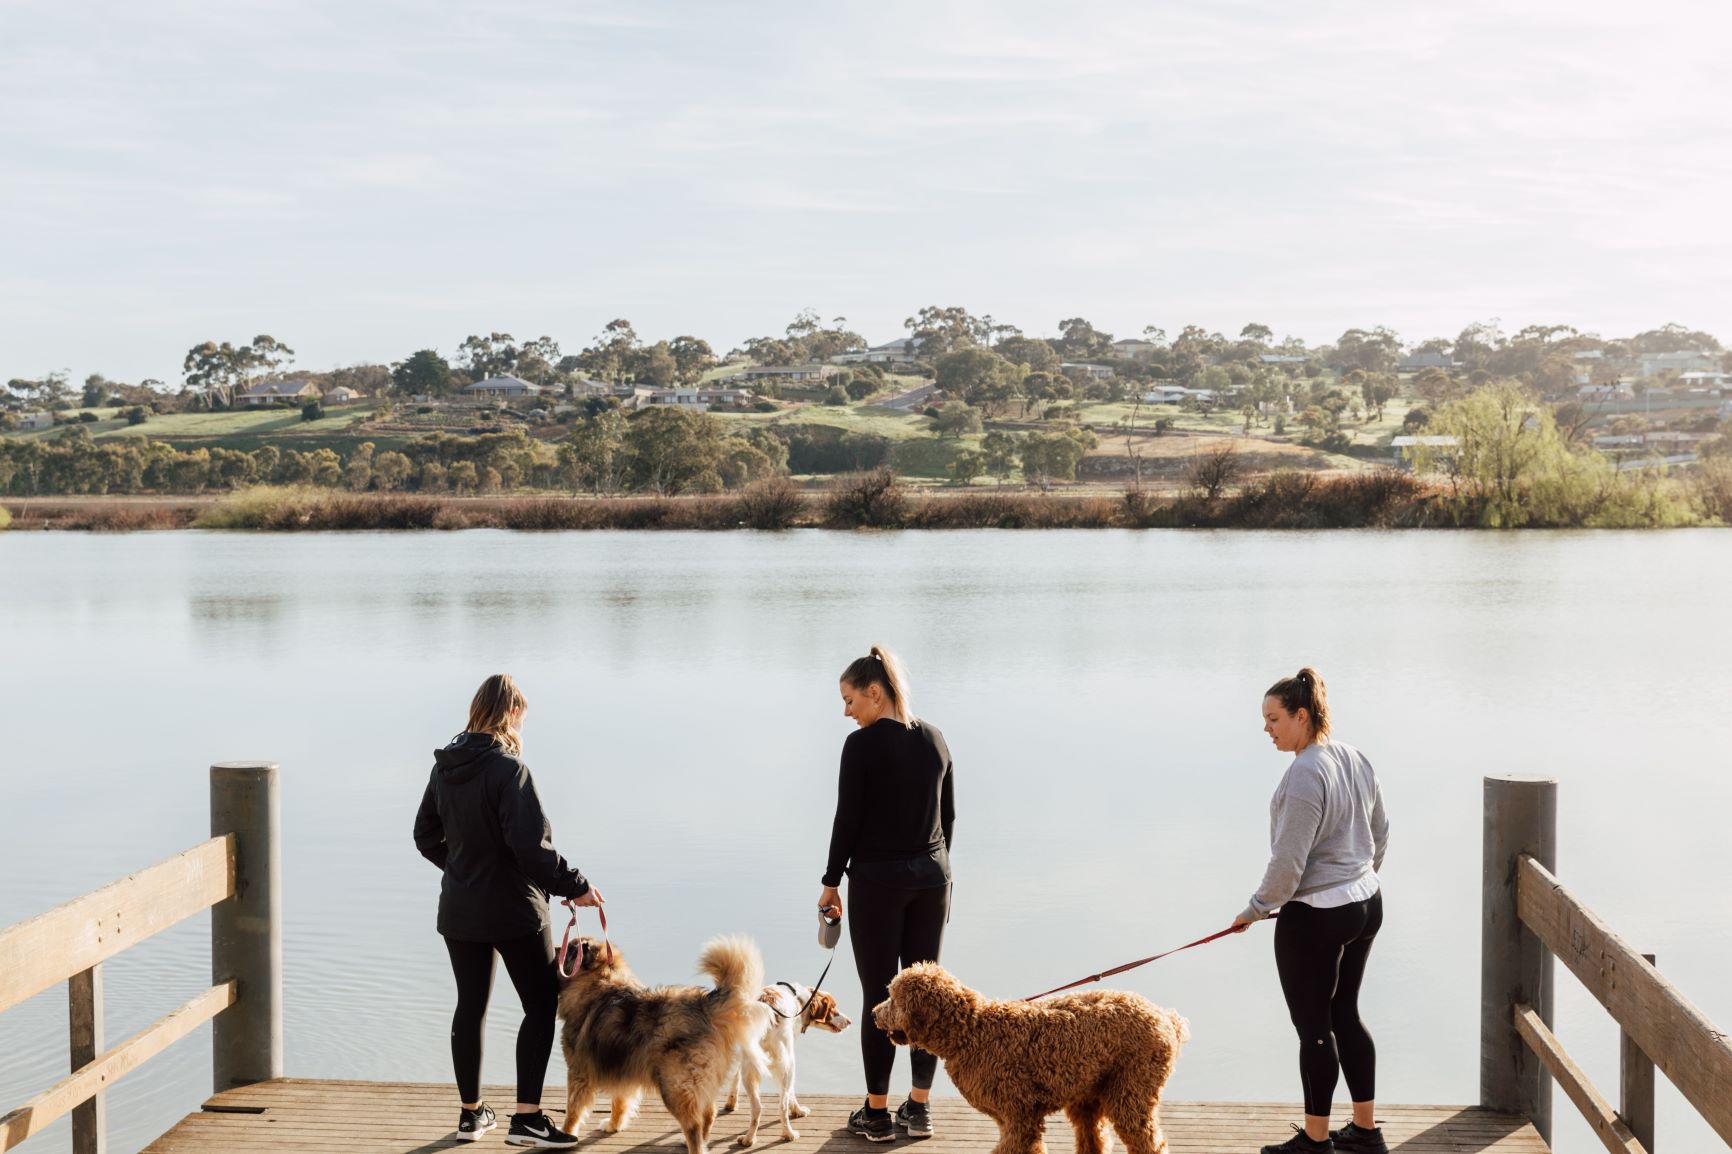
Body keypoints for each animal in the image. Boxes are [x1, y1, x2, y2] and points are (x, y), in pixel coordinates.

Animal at [557, 935, 775, 1150]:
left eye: (568, 949)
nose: (555, 949)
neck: (598, 980)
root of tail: (705, 1006)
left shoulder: (579, 1072)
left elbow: (573, 1109)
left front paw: (566, 1133)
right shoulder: (622, 1068)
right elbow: (619, 1102)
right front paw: (613, 1125)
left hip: (675, 1086)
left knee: (693, 1125)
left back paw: (694, 1146)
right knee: (708, 1113)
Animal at [723, 977, 852, 1143]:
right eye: (834, 1008)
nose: (850, 1021)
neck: (801, 1000)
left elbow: (734, 1077)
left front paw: (731, 1103)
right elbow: (791, 1093)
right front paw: (798, 1110)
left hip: (750, 1067)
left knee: (757, 1107)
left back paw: (749, 1139)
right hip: (787, 1064)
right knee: (782, 1106)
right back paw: (789, 1134)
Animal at [872, 956, 1184, 1150]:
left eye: (893, 998)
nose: (874, 1013)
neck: (971, 1030)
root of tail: (1165, 1018)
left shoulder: (1020, 1117)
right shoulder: (1011, 1119)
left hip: (1131, 1091)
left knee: (1149, 1142)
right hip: (1089, 1093)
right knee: (1094, 1137)